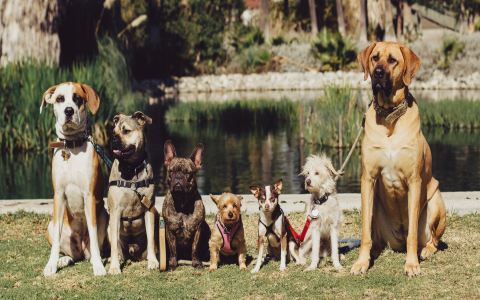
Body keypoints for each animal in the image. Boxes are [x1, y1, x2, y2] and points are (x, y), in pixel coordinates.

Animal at [39, 81, 109, 276]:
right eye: (60, 98)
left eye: (77, 98)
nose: (69, 111)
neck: (71, 146)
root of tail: (80, 250)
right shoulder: (58, 195)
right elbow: (56, 241)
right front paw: (51, 264)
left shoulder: (89, 196)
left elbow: (93, 233)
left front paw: (99, 266)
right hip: (51, 225)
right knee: (70, 254)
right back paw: (64, 259)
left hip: (104, 215)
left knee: (95, 247)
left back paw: (95, 259)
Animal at [162, 141, 209, 270]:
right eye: (171, 171)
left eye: (188, 173)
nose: (179, 177)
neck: (182, 201)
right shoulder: (170, 231)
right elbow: (173, 250)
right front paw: (172, 264)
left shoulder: (198, 230)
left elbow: (195, 249)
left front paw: (196, 263)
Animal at [350, 42, 448, 276]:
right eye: (375, 57)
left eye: (392, 60)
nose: (377, 73)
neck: (388, 117)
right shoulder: (368, 179)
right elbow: (365, 232)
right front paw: (362, 262)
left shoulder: (414, 181)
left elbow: (412, 232)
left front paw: (412, 264)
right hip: (376, 207)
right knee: (375, 238)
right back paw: (374, 251)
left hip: (436, 200)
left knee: (433, 240)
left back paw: (425, 251)